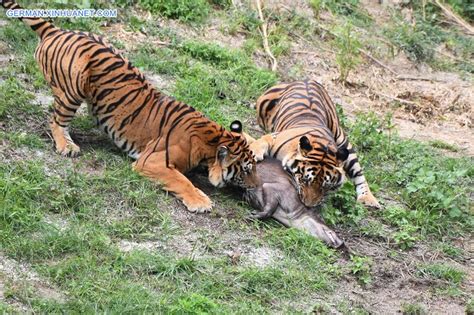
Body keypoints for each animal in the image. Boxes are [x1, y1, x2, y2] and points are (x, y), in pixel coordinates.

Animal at [0, 0, 260, 214]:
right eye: (246, 169)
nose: (258, 186)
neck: (211, 142)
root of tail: (57, 30)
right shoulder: (153, 161)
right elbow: (181, 180)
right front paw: (200, 201)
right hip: (72, 88)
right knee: (56, 120)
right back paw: (67, 146)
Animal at [252, 80, 382, 210]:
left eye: (325, 186)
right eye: (305, 180)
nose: (309, 206)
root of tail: (307, 79)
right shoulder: (275, 136)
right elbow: (262, 141)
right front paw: (254, 152)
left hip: (343, 142)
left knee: (359, 174)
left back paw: (369, 199)